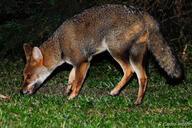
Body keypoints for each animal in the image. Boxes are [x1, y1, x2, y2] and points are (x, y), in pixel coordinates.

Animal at [20, 4, 182, 104]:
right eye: (24, 76)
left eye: (28, 76)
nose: (21, 91)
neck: (60, 44)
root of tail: (142, 12)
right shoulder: (78, 62)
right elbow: (71, 77)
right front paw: (68, 89)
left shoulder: (84, 62)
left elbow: (78, 82)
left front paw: (72, 97)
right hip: (135, 56)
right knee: (143, 77)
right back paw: (138, 101)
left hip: (115, 51)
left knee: (129, 71)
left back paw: (115, 91)